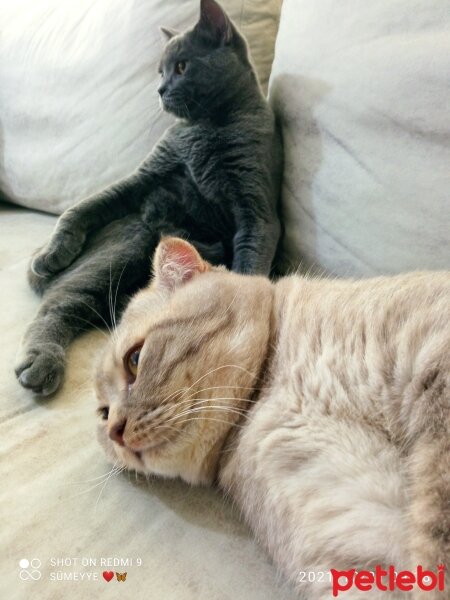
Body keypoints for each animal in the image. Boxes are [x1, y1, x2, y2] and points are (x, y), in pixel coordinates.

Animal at [14, 0, 282, 398]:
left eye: (182, 66)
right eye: (160, 70)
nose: (159, 89)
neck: (206, 129)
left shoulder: (257, 210)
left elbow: (249, 265)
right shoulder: (146, 176)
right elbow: (85, 206)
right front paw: (53, 251)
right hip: (125, 246)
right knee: (59, 303)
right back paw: (41, 361)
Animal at [96, 237, 448, 596]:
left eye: (134, 359)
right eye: (103, 413)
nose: (115, 431)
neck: (265, 389)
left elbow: (437, 532)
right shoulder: (352, 531)